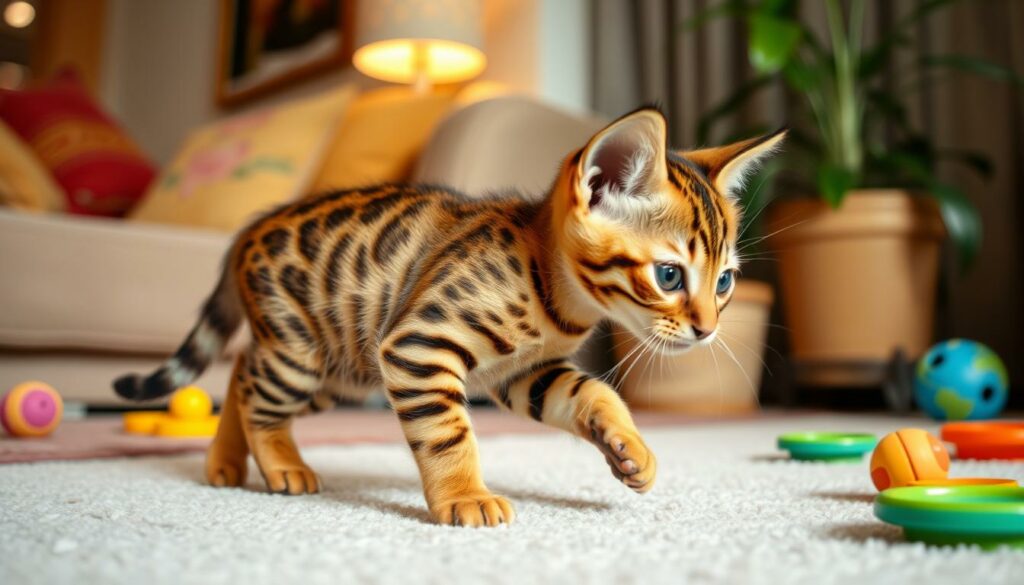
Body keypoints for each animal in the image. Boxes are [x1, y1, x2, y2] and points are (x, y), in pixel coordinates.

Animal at [114, 107, 782, 528]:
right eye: (669, 276)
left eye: (725, 282)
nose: (708, 329)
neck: (555, 296)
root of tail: (250, 229)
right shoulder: (418, 346)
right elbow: (448, 433)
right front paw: (465, 497)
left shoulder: (526, 375)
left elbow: (596, 394)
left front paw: (630, 448)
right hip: (310, 355)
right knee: (256, 394)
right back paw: (281, 464)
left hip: (338, 366)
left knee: (240, 373)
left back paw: (224, 464)